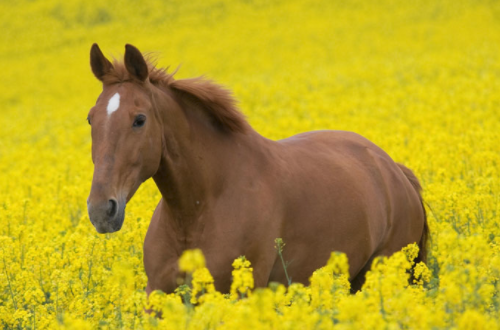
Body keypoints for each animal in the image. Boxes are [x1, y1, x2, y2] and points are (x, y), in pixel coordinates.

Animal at [87, 43, 430, 294]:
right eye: (91, 118)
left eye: (139, 119)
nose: (101, 210)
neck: (198, 210)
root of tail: (394, 170)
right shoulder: (157, 294)